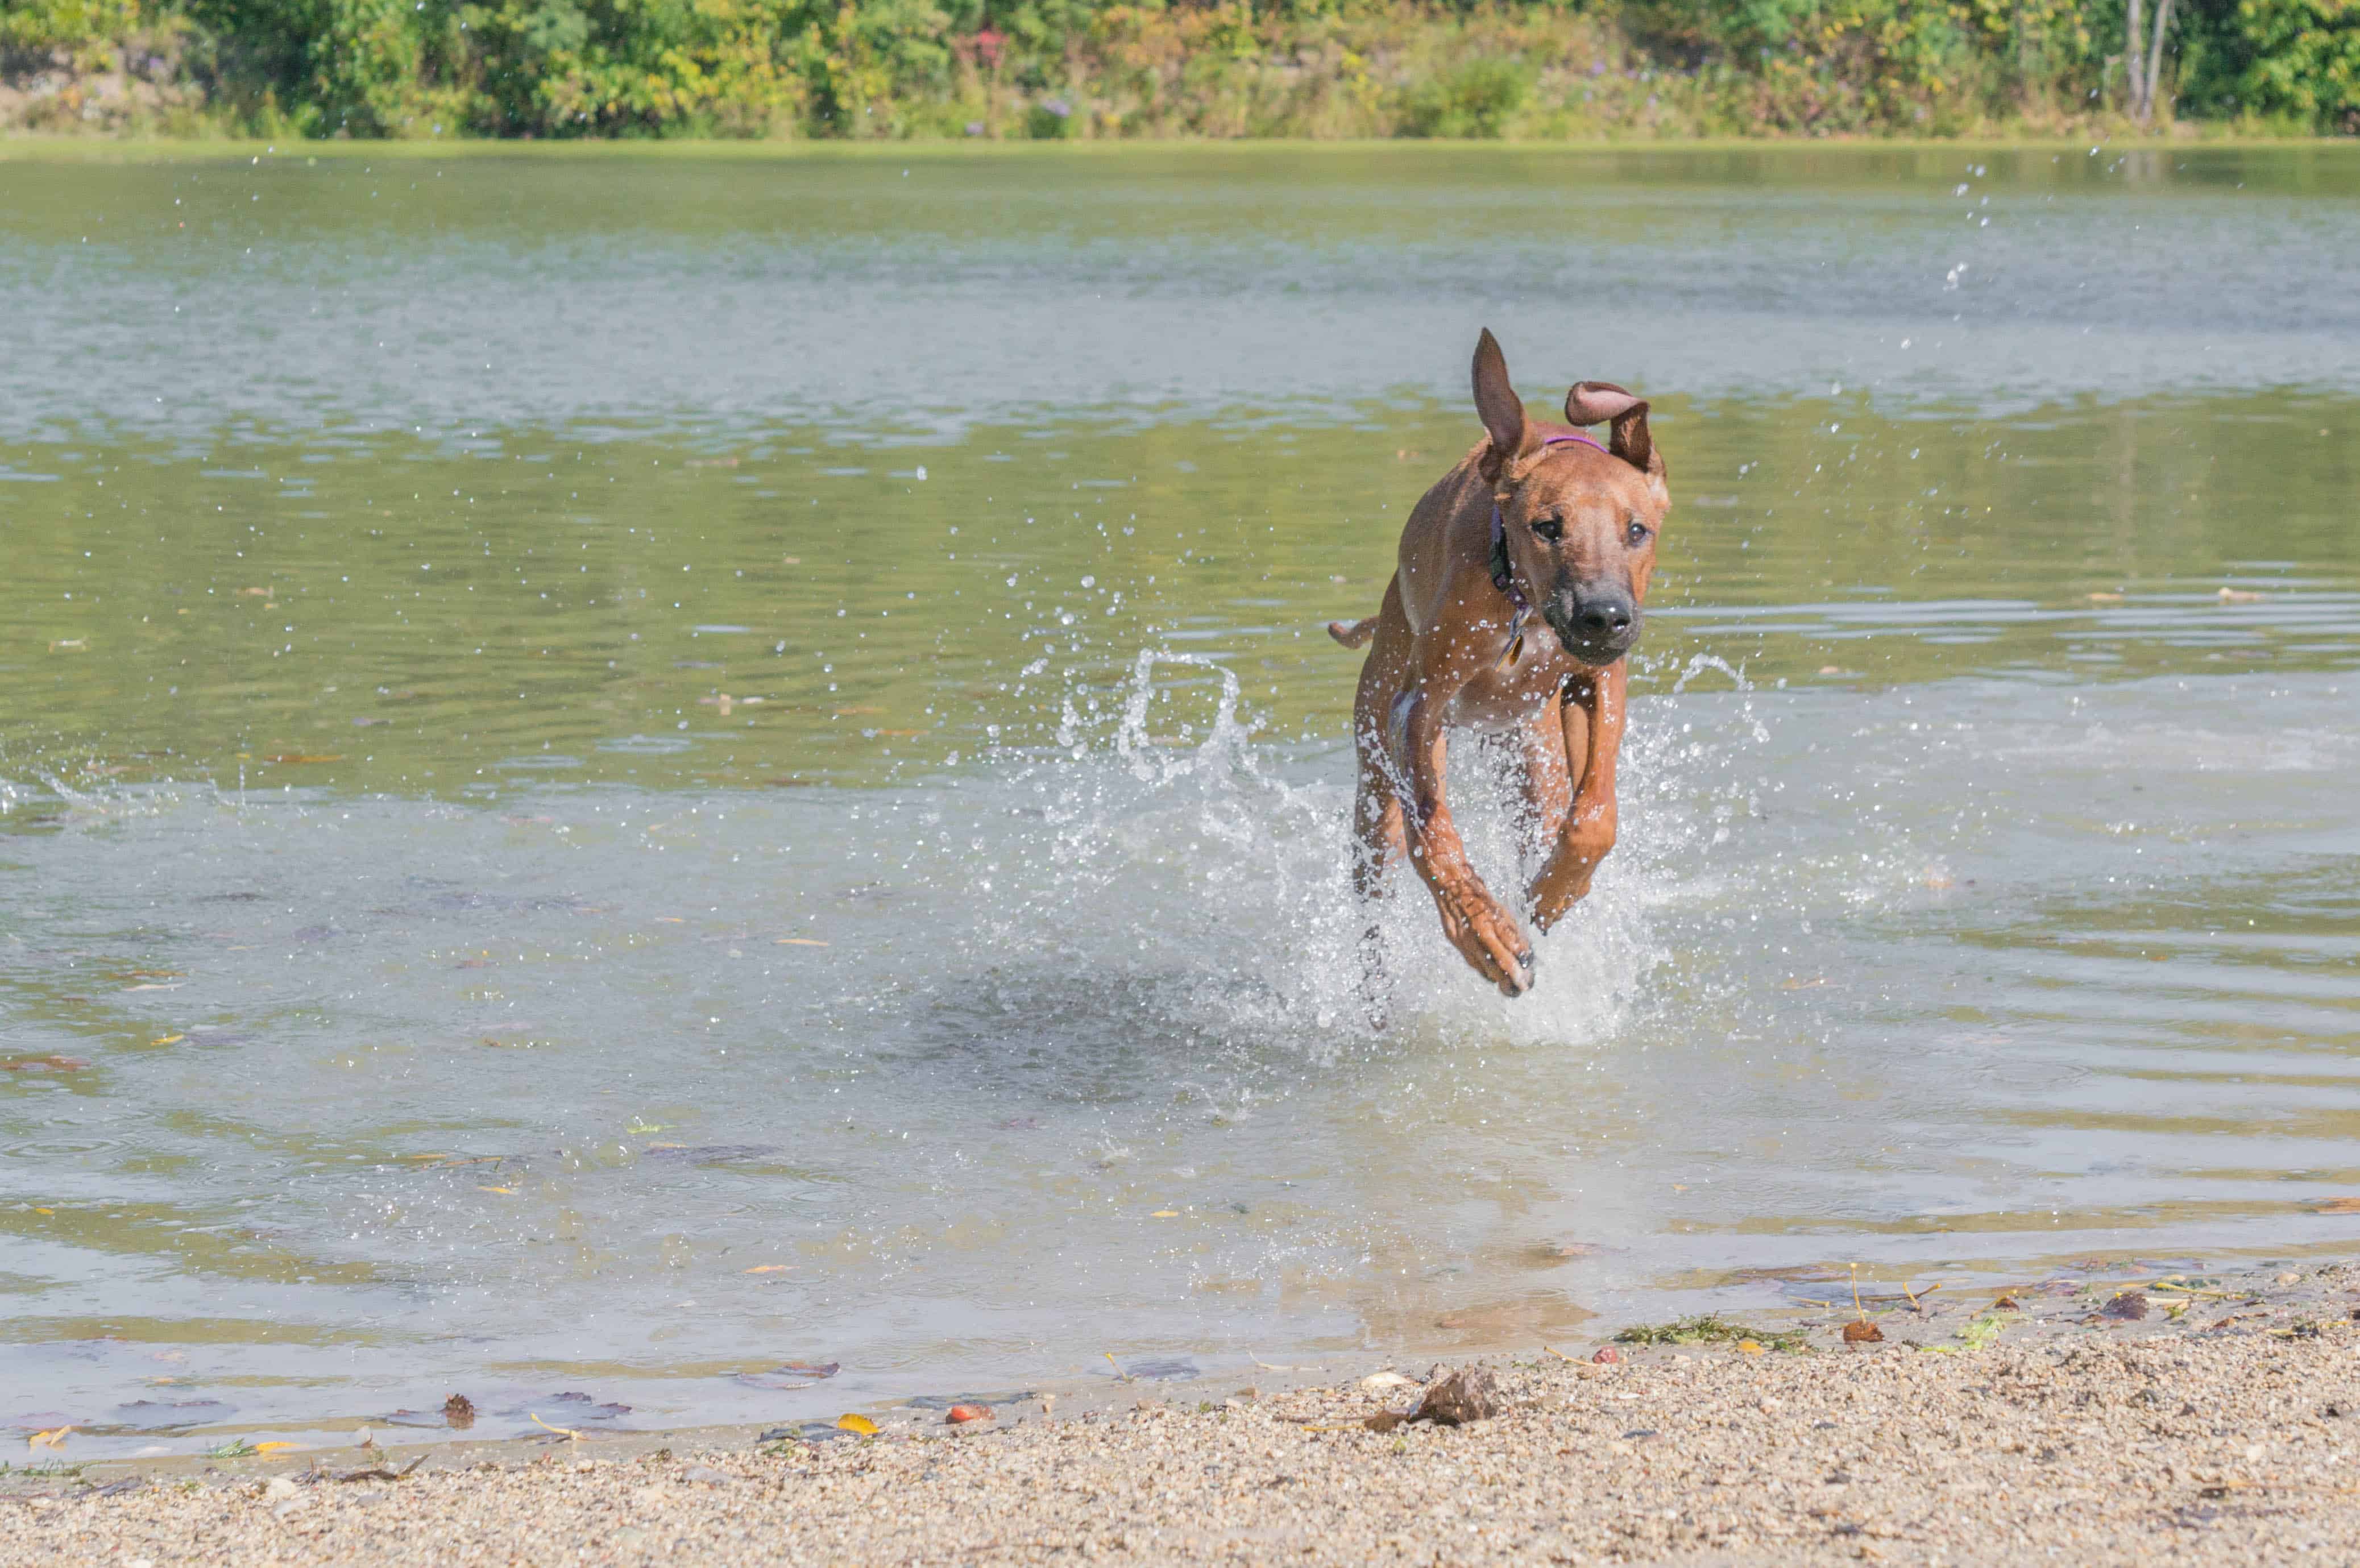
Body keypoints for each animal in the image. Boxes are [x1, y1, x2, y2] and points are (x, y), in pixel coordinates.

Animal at [1331, 330, 1680, 996]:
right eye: (1546, 527)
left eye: (1637, 531)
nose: (1603, 617)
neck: (1526, 610)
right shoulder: (1418, 706)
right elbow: (1433, 839)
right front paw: (1484, 932)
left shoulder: (1601, 680)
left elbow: (1595, 814)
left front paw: (1550, 894)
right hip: (1377, 767)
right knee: (1376, 893)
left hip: (1531, 755)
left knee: (1547, 813)